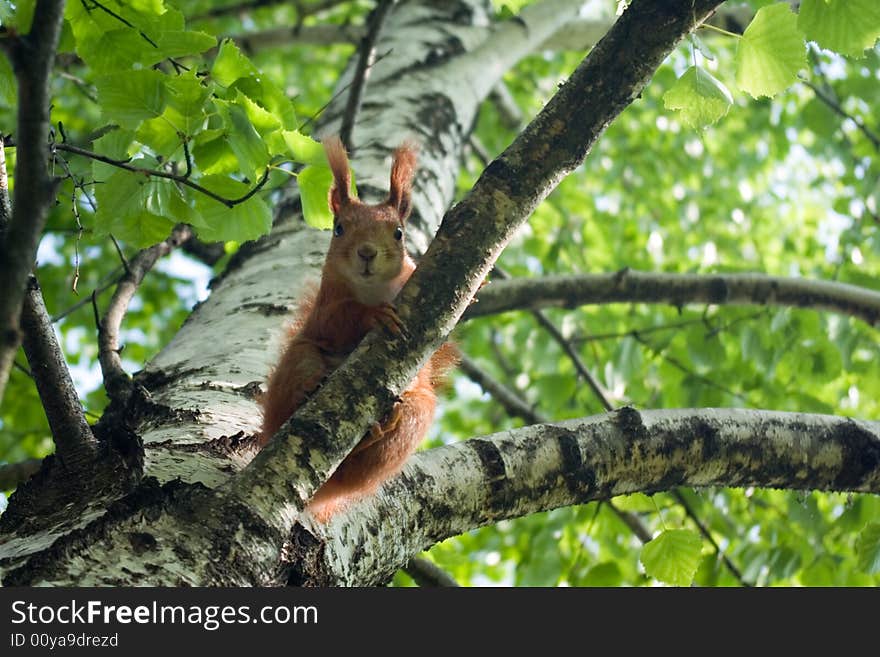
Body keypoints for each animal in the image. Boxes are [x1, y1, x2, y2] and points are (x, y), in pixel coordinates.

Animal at [256, 135, 458, 524]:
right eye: (339, 229)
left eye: (399, 233)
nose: (366, 253)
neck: (372, 289)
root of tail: (322, 494)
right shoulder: (326, 309)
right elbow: (340, 321)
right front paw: (374, 316)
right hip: (299, 359)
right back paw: (310, 391)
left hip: (416, 414)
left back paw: (381, 425)